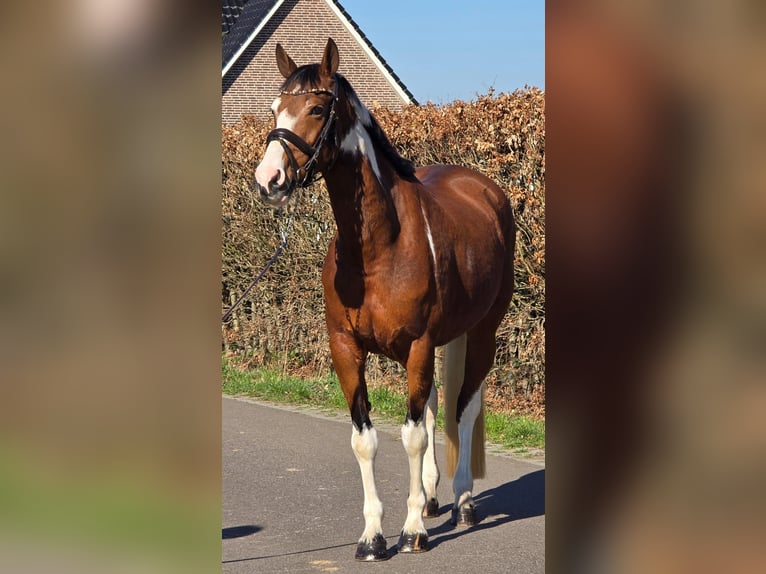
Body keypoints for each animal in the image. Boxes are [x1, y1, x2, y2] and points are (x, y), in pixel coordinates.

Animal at [253, 38, 515, 561]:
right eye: (273, 108)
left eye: (317, 108)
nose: (269, 179)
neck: (379, 248)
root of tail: (484, 189)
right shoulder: (346, 348)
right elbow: (366, 440)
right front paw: (373, 537)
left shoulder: (417, 345)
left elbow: (411, 436)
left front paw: (411, 532)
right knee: (434, 406)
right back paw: (433, 498)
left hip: (482, 332)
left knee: (464, 407)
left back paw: (462, 502)